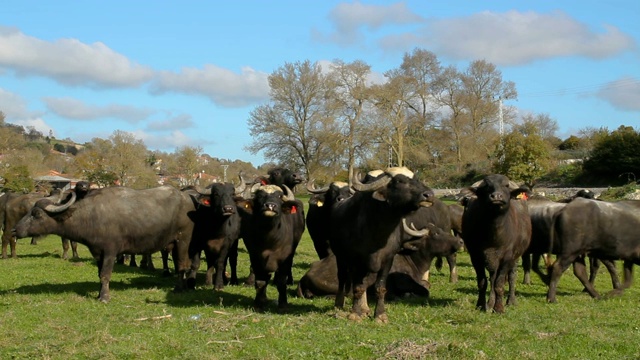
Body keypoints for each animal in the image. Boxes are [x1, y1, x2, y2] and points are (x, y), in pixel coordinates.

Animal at [14, 184, 195, 302]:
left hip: (183, 241)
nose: (15, 230)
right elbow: (99, 274)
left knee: (182, 265)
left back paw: (179, 288)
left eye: (36, 214)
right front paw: (99, 293)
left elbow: (105, 274)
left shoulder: (110, 251)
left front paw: (104, 297)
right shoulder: (97, 252)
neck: (91, 216)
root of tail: (187, 199)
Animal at [330, 167, 436, 322]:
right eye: (399, 181)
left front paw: (380, 315)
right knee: (343, 278)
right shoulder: (356, 260)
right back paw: (339, 304)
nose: (429, 195)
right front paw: (355, 313)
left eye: (416, 179)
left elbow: (380, 287)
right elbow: (357, 287)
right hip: (340, 257)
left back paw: (365, 308)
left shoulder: (387, 260)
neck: (378, 232)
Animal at [462, 174, 532, 312]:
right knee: (492, 277)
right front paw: (481, 305)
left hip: (515, 257)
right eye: (487, 186)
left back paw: (511, 301)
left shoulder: (507, 257)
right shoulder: (475, 256)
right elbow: (483, 282)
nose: (496, 196)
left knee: (511, 276)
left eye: (506, 185)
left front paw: (499, 308)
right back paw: (490, 303)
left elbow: (499, 284)